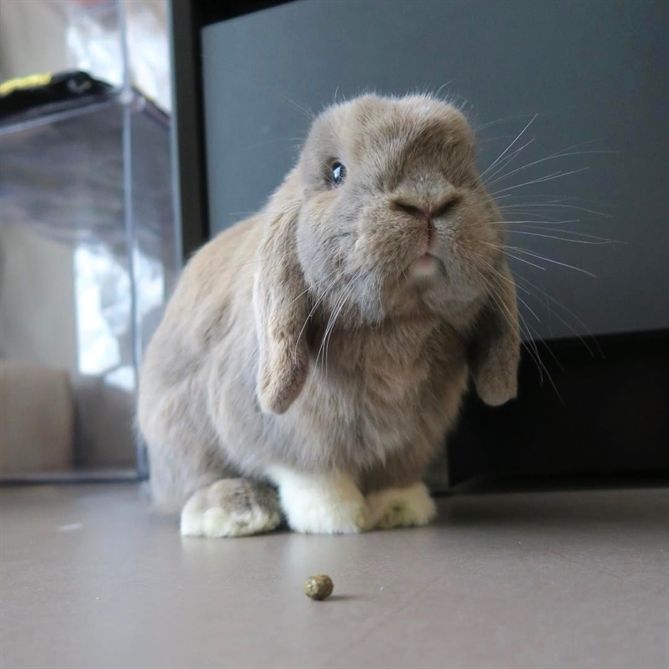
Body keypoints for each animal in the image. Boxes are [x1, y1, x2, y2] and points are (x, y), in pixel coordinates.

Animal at [137, 93, 519, 537]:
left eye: (470, 168)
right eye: (337, 172)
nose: (427, 201)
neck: (397, 326)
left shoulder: (412, 440)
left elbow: (395, 474)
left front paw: (400, 509)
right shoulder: (287, 432)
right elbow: (311, 473)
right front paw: (336, 518)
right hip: (181, 432)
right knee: (197, 483)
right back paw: (238, 513)